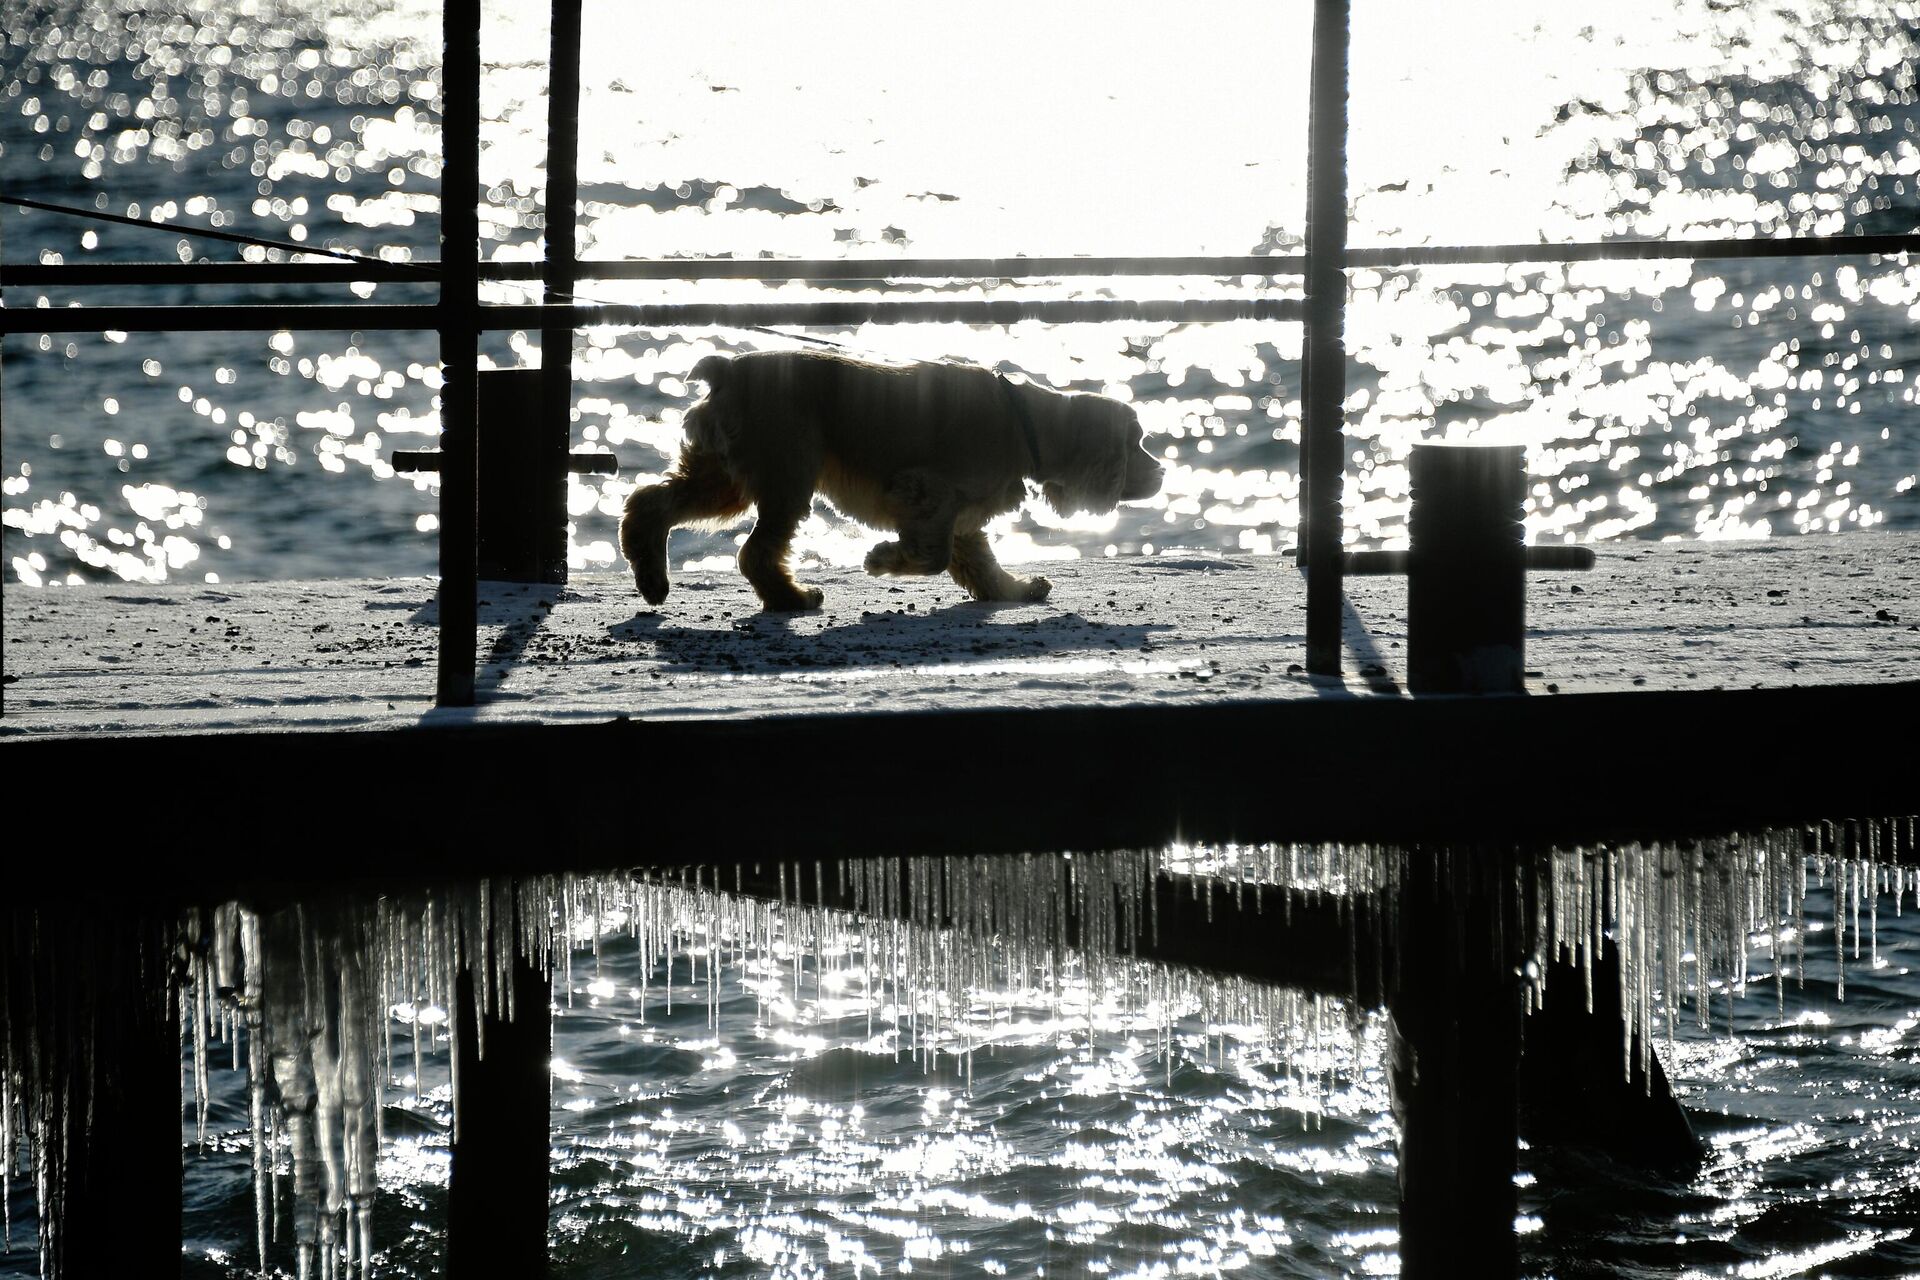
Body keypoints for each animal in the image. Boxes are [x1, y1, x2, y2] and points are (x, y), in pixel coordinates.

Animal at [622, 351, 1159, 610]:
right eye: (1136, 443)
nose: (1162, 471)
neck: (1023, 422)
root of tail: (727, 370)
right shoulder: (925, 492)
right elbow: (934, 556)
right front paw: (882, 560)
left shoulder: (961, 515)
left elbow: (980, 566)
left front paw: (1016, 590)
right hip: (787, 478)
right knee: (755, 552)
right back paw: (792, 600)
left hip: (725, 478)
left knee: (652, 501)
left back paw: (651, 576)